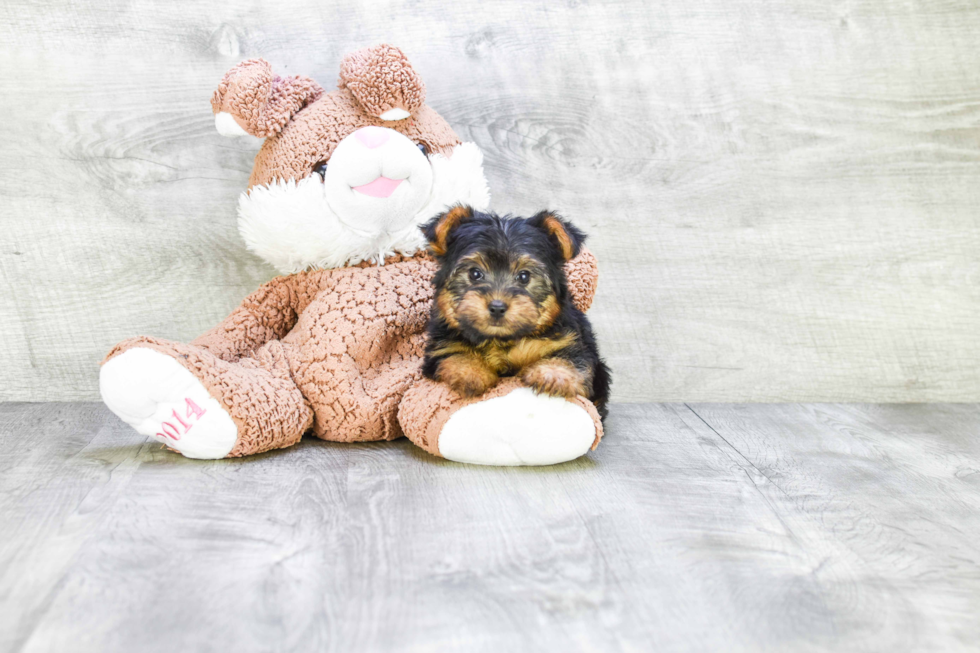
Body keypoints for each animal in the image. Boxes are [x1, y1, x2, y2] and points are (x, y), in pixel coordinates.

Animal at [420, 205, 608, 418]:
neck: (501, 340)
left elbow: (572, 358)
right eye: (475, 273)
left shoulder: (568, 340)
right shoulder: (441, 346)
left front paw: (552, 374)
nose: (497, 307)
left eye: (524, 276)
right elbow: (454, 355)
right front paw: (470, 372)